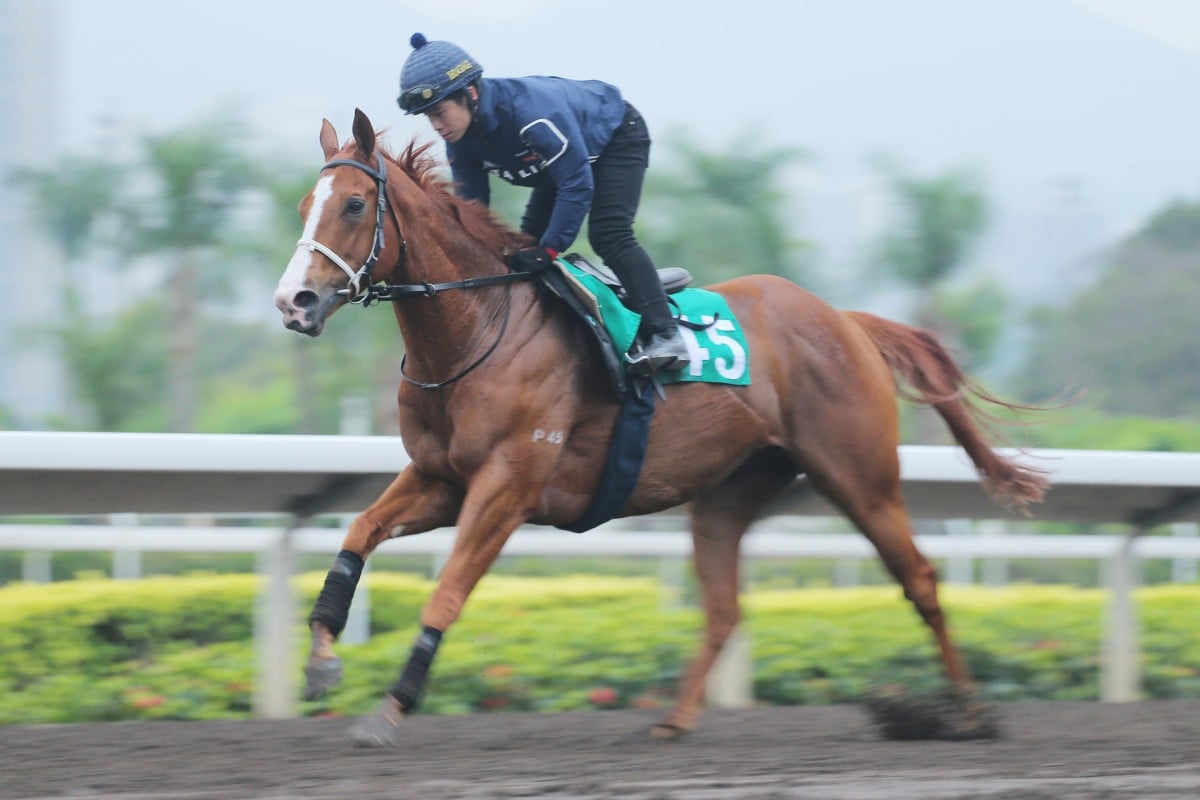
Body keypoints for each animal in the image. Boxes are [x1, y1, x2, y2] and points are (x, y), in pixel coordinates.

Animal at [276, 109, 1046, 748]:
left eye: (353, 204)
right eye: (303, 206)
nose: (294, 301)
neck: (479, 327)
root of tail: (846, 320)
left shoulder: (506, 487)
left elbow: (447, 592)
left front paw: (389, 709)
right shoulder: (441, 478)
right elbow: (357, 534)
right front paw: (321, 663)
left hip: (861, 477)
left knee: (921, 580)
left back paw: (969, 714)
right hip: (729, 494)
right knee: (726, 608)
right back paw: (675, 720)